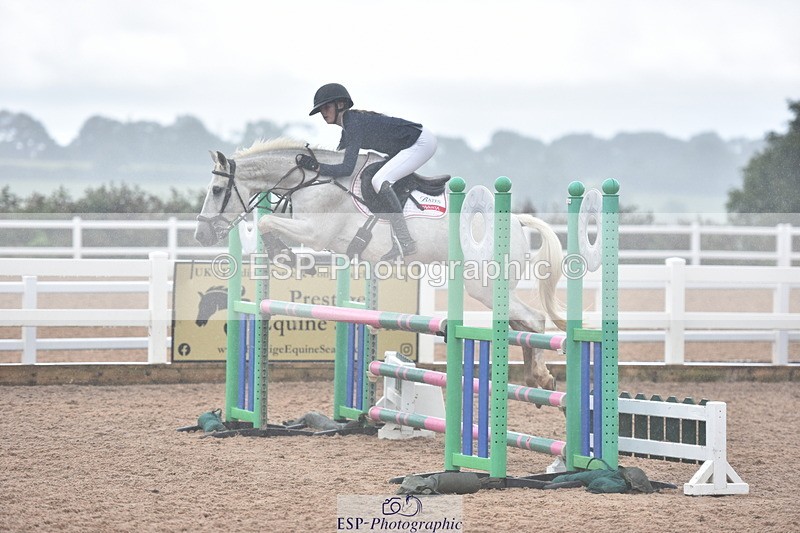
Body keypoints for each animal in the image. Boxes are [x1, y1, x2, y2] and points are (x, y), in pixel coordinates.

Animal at [195, 138, 565, 390]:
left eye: (217, 190)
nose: (201, 234)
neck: (312, 180)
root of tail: (517, 221)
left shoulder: (315, 232)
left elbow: (268, 223)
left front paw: (287, 256)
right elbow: (268, 223)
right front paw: (285, 256)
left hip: (483, 285)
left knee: (534, 319)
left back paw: (541, 375)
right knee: (523, 326)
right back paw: (537, 377)